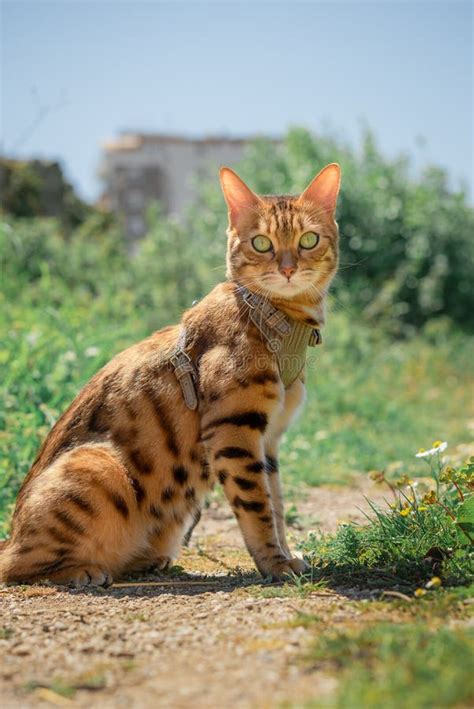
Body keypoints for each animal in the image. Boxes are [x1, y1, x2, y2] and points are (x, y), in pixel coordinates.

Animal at [0, 162, 340, 588]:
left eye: (309, 239)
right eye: (261, 244)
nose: (289, 269)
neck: (278, 319)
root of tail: (10, 537)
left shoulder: (270, 438)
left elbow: (276, 503)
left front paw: (287, 555)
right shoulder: (235, 431)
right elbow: (257, 505)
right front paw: (274, 564)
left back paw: (147, 561)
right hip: (99, 465)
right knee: (19, 567)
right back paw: (83, 570)